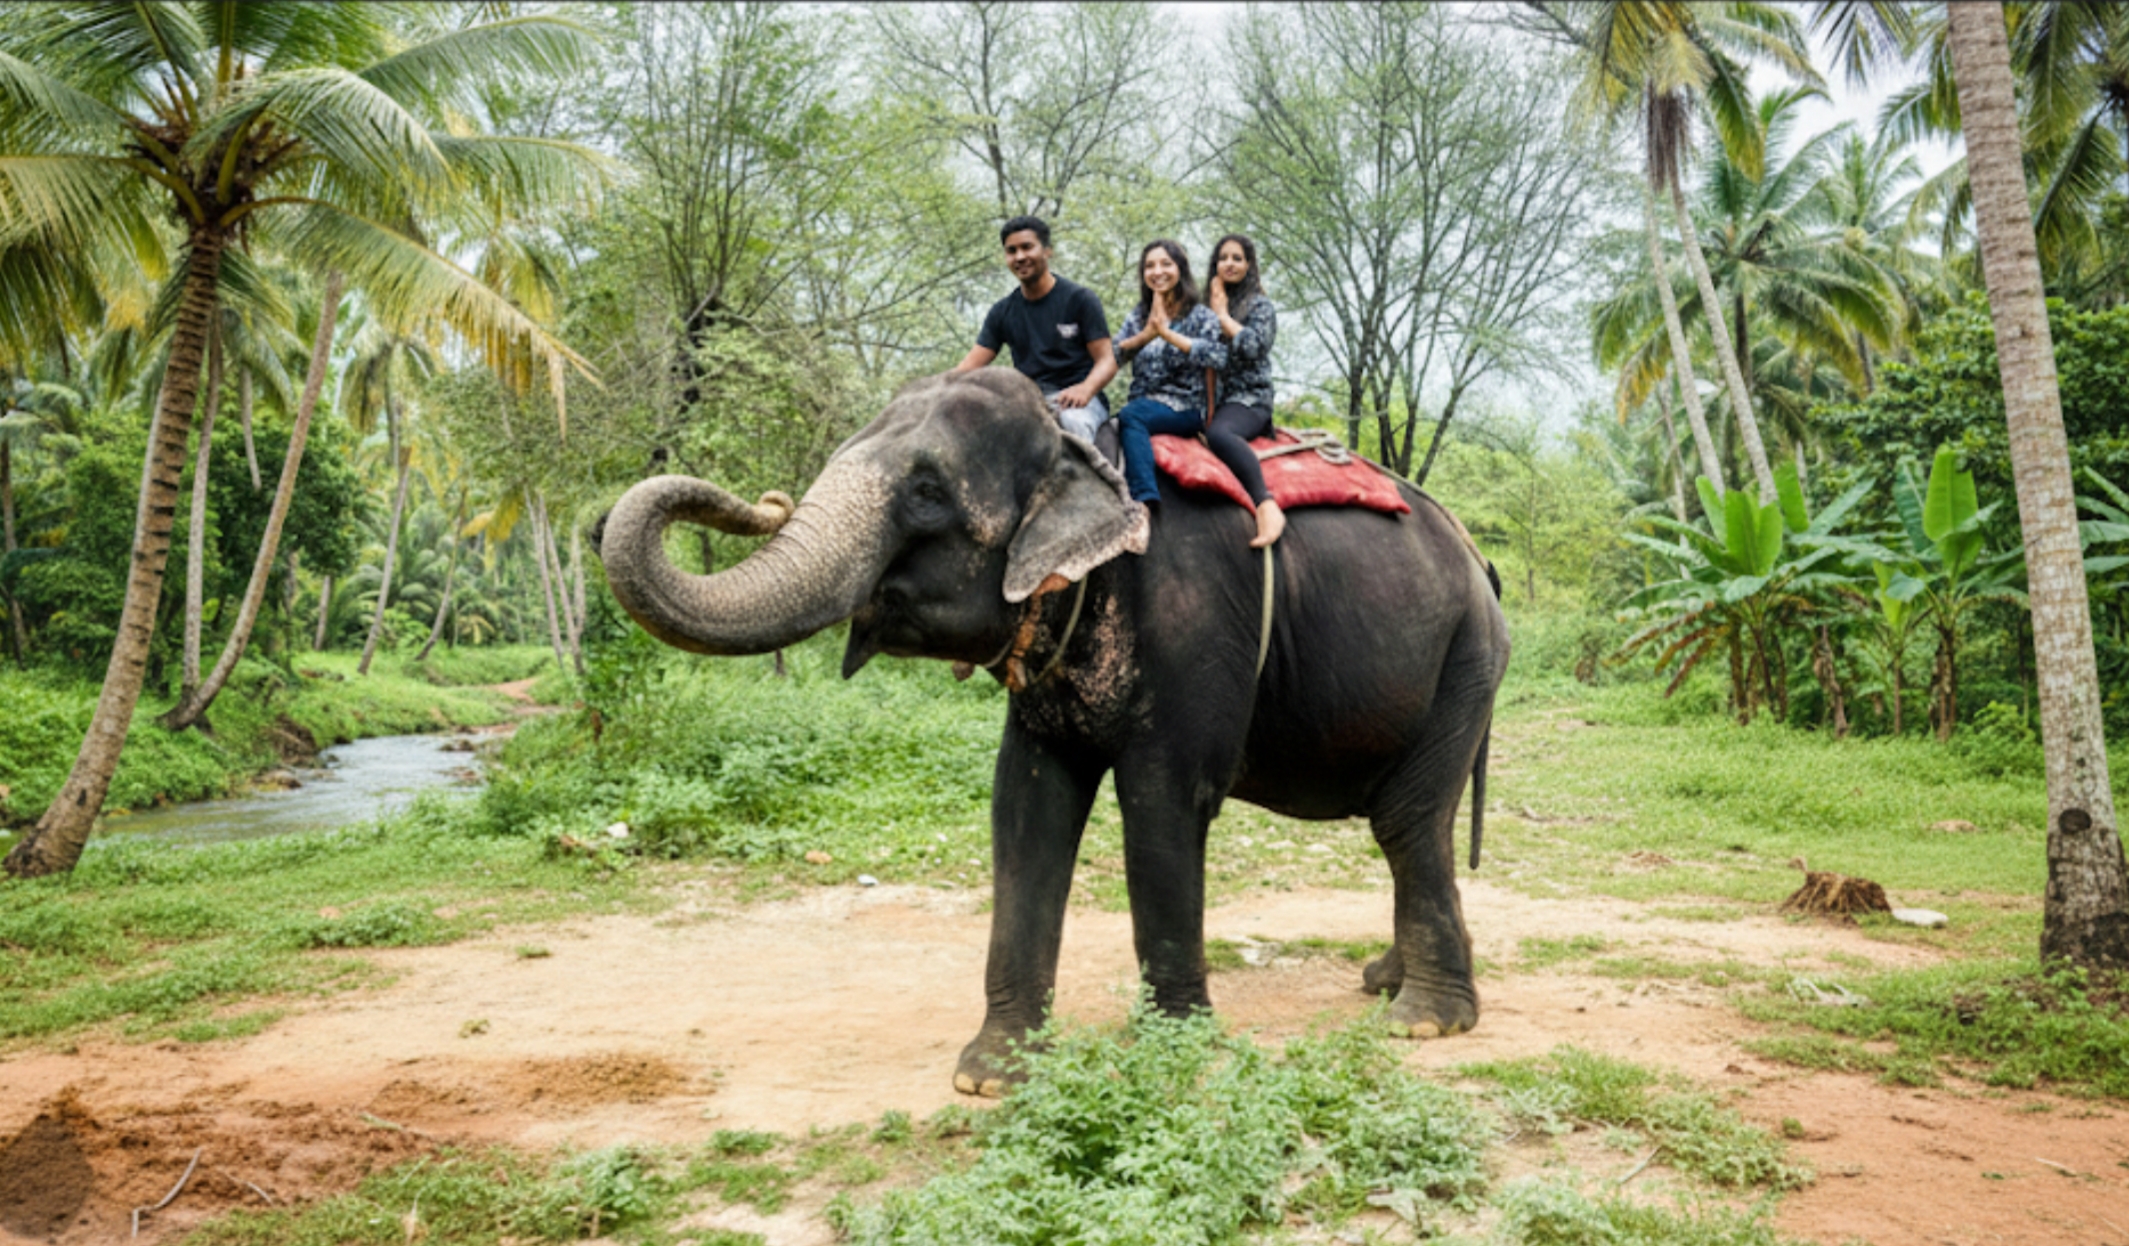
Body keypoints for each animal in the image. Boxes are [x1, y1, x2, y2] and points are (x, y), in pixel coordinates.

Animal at [597, 369, 1510, 1096]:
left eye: (926, 494)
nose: (766, 502)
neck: (1079, 449)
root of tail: (1478, 559)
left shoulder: (1197, 619)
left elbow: (1163, 804)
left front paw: (1174, 1056)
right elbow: (1025, 809)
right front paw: (991, 1076)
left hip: (1465, 658)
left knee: (1404, 821)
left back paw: (1421, 1020)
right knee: (1404, 823)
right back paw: (1384, 982)